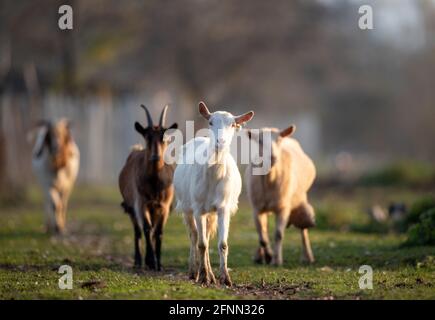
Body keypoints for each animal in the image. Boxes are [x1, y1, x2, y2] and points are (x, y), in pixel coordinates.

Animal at [119, 105, 177, 270]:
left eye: (164, 138)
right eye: (147, 136)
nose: (155, 157)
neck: (155, 183)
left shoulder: (164, 206)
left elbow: (159, 232)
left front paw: (158, 263)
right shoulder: (141, 203)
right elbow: (147, 228)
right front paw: (150, 261)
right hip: (132, 207)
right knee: (138, 231)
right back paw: (138, 261)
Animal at [174, 101, 254, 286]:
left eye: (233, 124)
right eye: (210, 122)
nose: (221, 141)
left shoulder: (223, 207)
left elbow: (222, 243)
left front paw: (225, 278)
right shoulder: (198, 207)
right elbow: (201, 244)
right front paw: (204, 277)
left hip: (211, 212)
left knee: (207, 236)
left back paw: (210, 273)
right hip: (186, 205)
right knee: (194, 236)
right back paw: (194, 272)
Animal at [245, 126, 316, 266]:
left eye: (278, 140)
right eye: (260, 141)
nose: (272, 157)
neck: (270, 179)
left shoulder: (283, 207)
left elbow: (278, 234)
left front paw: (276, 260)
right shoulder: (256, 208)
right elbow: (262, 237)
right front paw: (268, 256)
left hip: (301, 198)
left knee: (303, 228)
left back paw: (308, 257)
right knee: (264, 230)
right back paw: (259, 256)